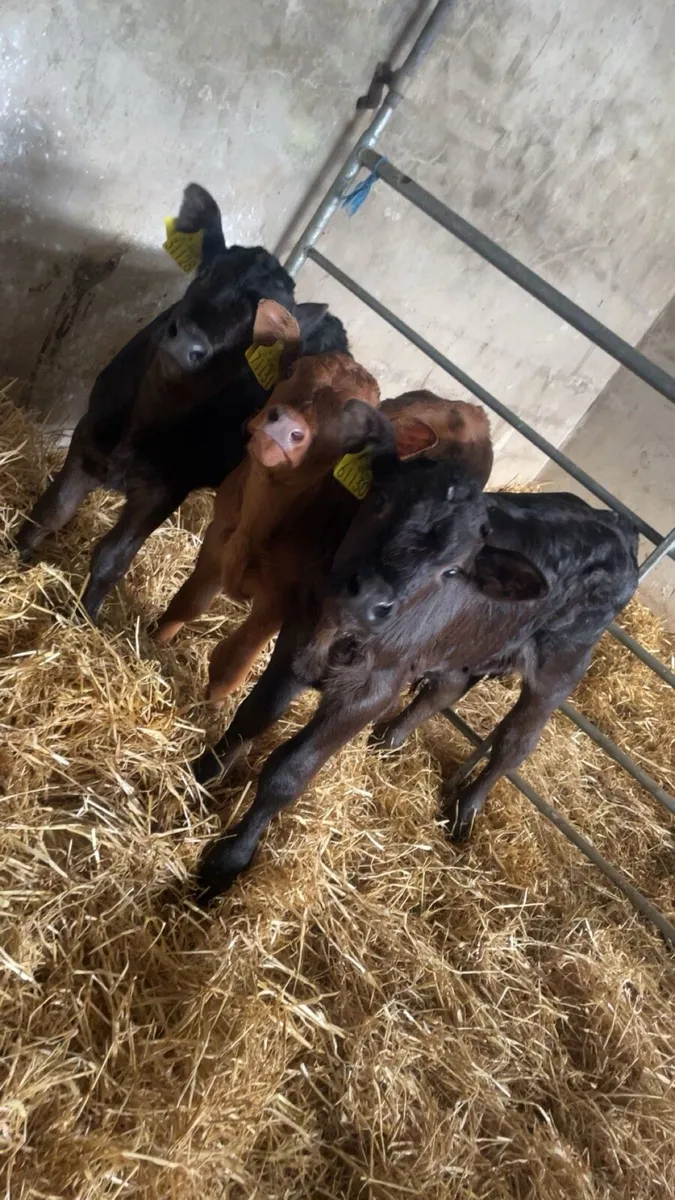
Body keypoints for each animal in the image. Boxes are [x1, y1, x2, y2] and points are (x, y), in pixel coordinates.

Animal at [15, 183, 347, 620]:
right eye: (205, 274)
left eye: (255, 327)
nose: (188, 341)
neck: (144, 421)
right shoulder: (88, 435)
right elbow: (51, 512)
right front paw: (15, 557)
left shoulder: (168, 488)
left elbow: (112, 558)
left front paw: (85, 615)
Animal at [189, 399, 639, 903]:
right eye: (381, 502)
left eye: (451, 571)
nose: (369, 599)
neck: (339, 634)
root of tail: (618, 525)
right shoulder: (295, 642)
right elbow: (250, 717)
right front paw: (201, 777)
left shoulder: (372, 690)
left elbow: (289, 772)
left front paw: (226, 862)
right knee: (448, 686)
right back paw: (388, 741)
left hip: (562, 666)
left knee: (516, 742)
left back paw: (464, 811)